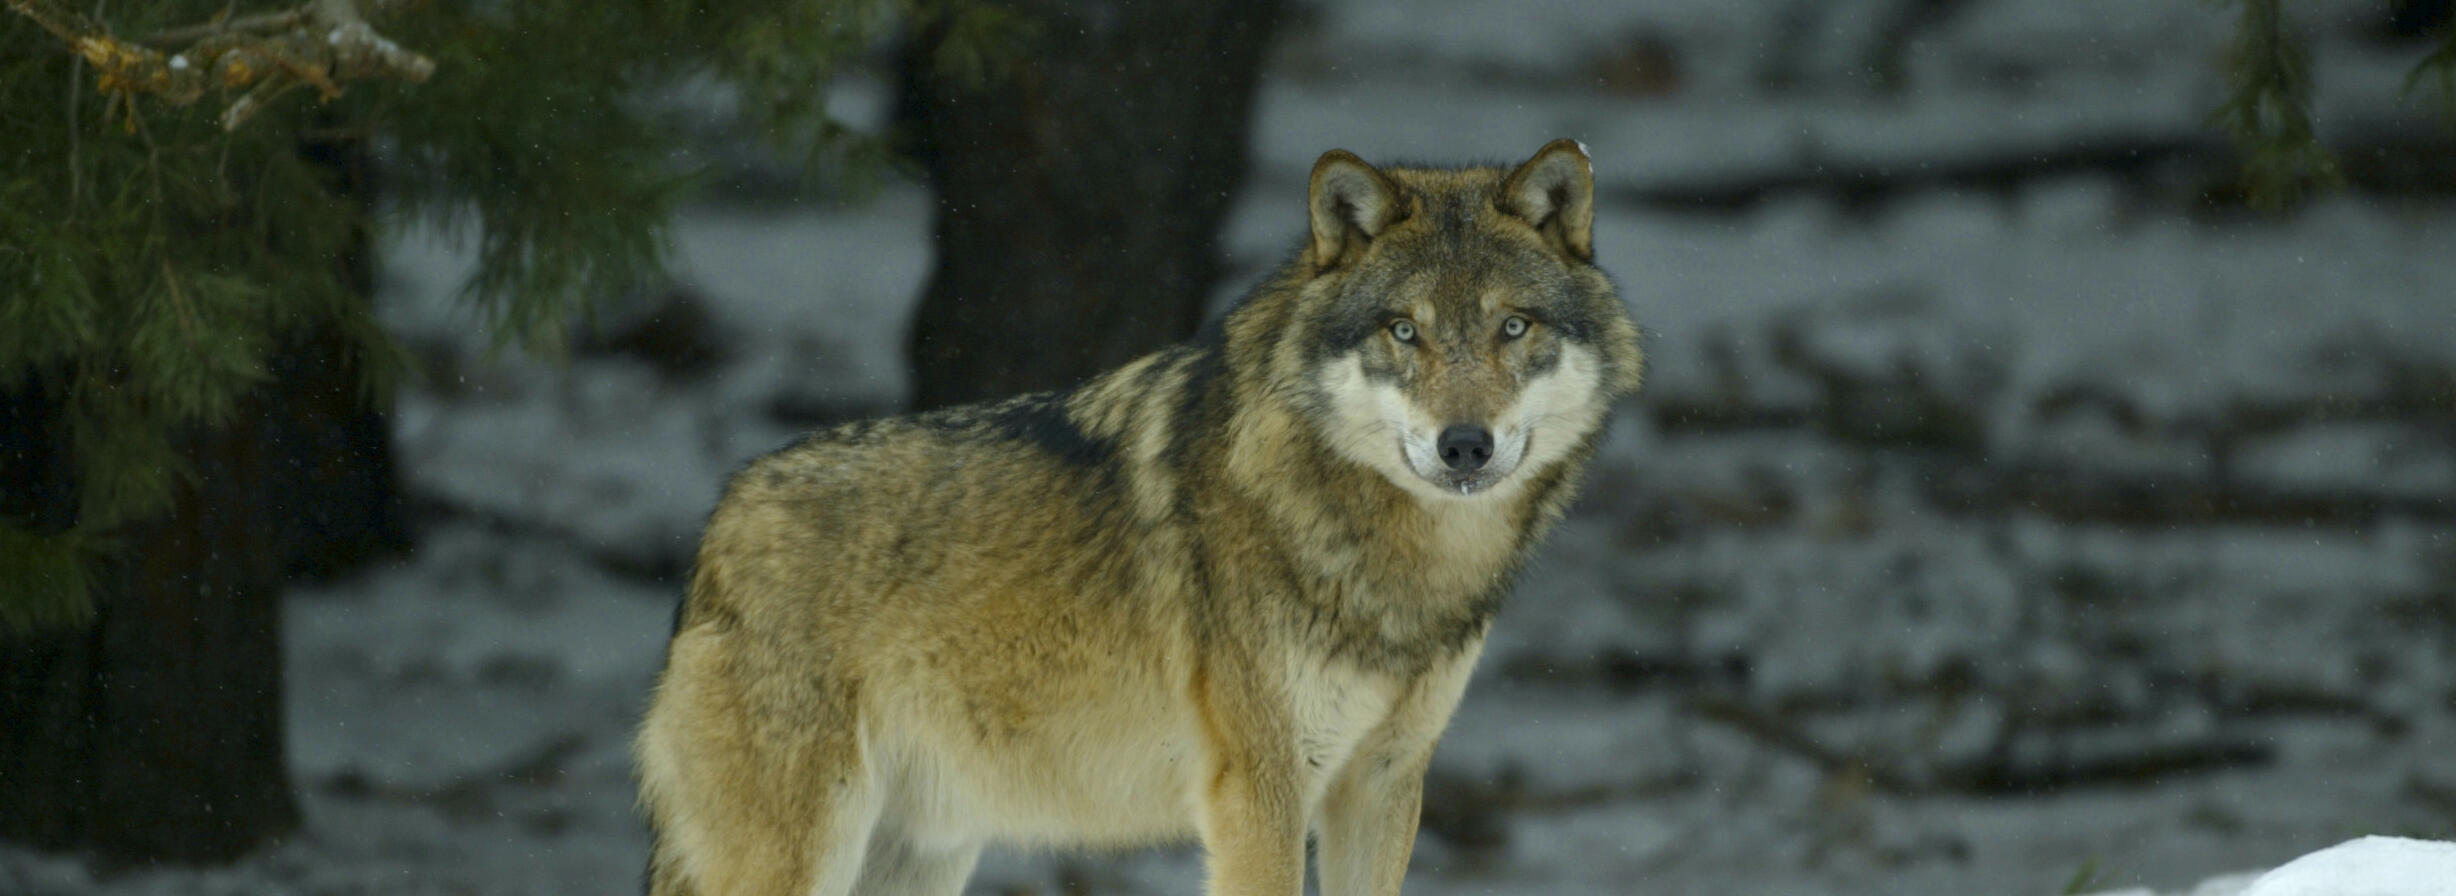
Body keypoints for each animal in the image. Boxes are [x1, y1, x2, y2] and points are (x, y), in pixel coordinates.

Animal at [635, 139, 1643, 896]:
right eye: (1404, 330)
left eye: (1513, 327)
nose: (1464, 446)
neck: (1393, 562)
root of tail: (719, 522)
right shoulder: (1260, 793)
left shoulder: (1384, 783)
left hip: (921, 854)